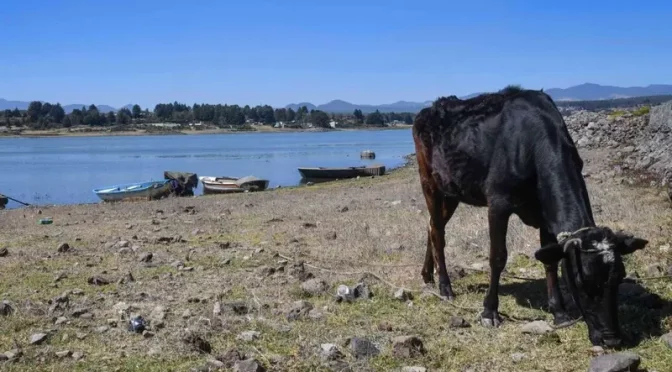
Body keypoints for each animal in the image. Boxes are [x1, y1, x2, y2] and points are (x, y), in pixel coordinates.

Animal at [412, 85, 648, 348]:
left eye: (619, 277)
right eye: (581, 281)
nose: (612, 340)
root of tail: (427, 110)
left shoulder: (546, 214)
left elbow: (549, 261)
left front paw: (559, 312)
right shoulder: (498, 202)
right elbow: (497, 257)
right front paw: (489, 312)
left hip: (451, 191)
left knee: (432, 226)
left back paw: (427, 275)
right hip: (430, 183)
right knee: (438, 233)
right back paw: (445, 286)